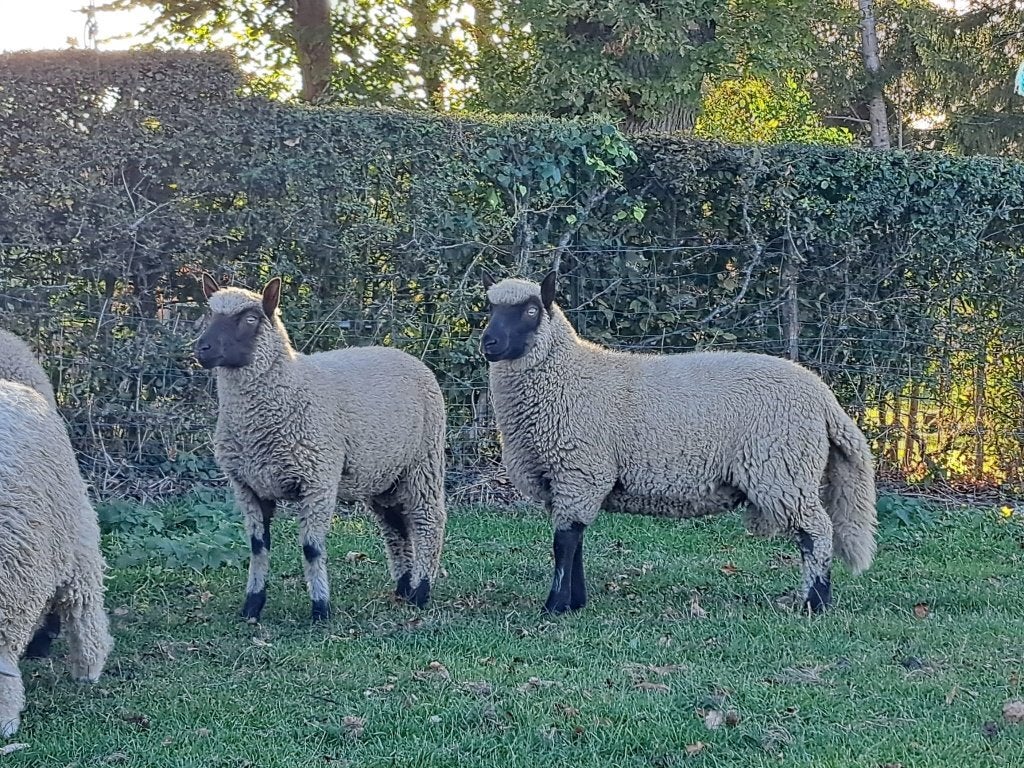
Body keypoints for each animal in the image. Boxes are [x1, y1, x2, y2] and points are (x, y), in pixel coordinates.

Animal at [195, 273, 448, 622]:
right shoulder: (247, 486)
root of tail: (408, 356)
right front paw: (252, 605)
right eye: (210, 314)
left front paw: (320, 608)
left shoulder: (318, 479)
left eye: (250, 319)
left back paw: (421, 591)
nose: (201, 348)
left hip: (424, 460)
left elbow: (312, 549)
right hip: (385, 475)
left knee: (427, 521)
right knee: (396, 527)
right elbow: (258, 546)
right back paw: (403, 588)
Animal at [480, 271, 877, 615]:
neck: (567, 374)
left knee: (816, 533)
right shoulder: (566, 480)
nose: (489, 343)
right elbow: (574, 542)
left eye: (531, 310)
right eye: (490, 308)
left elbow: (563, 543)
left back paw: (815, 603)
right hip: (790, 469)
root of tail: (822, 394)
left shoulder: (580, 472)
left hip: (783, 467)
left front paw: (555, 607)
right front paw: (575, 602)